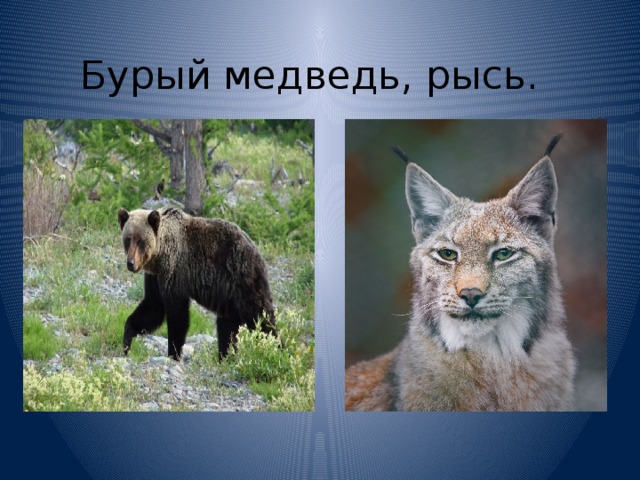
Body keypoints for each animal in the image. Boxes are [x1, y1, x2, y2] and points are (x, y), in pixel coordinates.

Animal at [117, 206, 277, 360]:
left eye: (140, 241)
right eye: (128, 239)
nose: (131, 263)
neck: (159, 255)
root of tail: (255, 248)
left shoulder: (175, 269)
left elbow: (177, 314)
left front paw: (173, 352)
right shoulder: (155, 276)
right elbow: (153, 306)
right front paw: (127, 341)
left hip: (243, 278)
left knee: (260, 315)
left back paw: (275, 347)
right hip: (228, 295)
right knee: (227, 325)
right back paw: (226, 356)